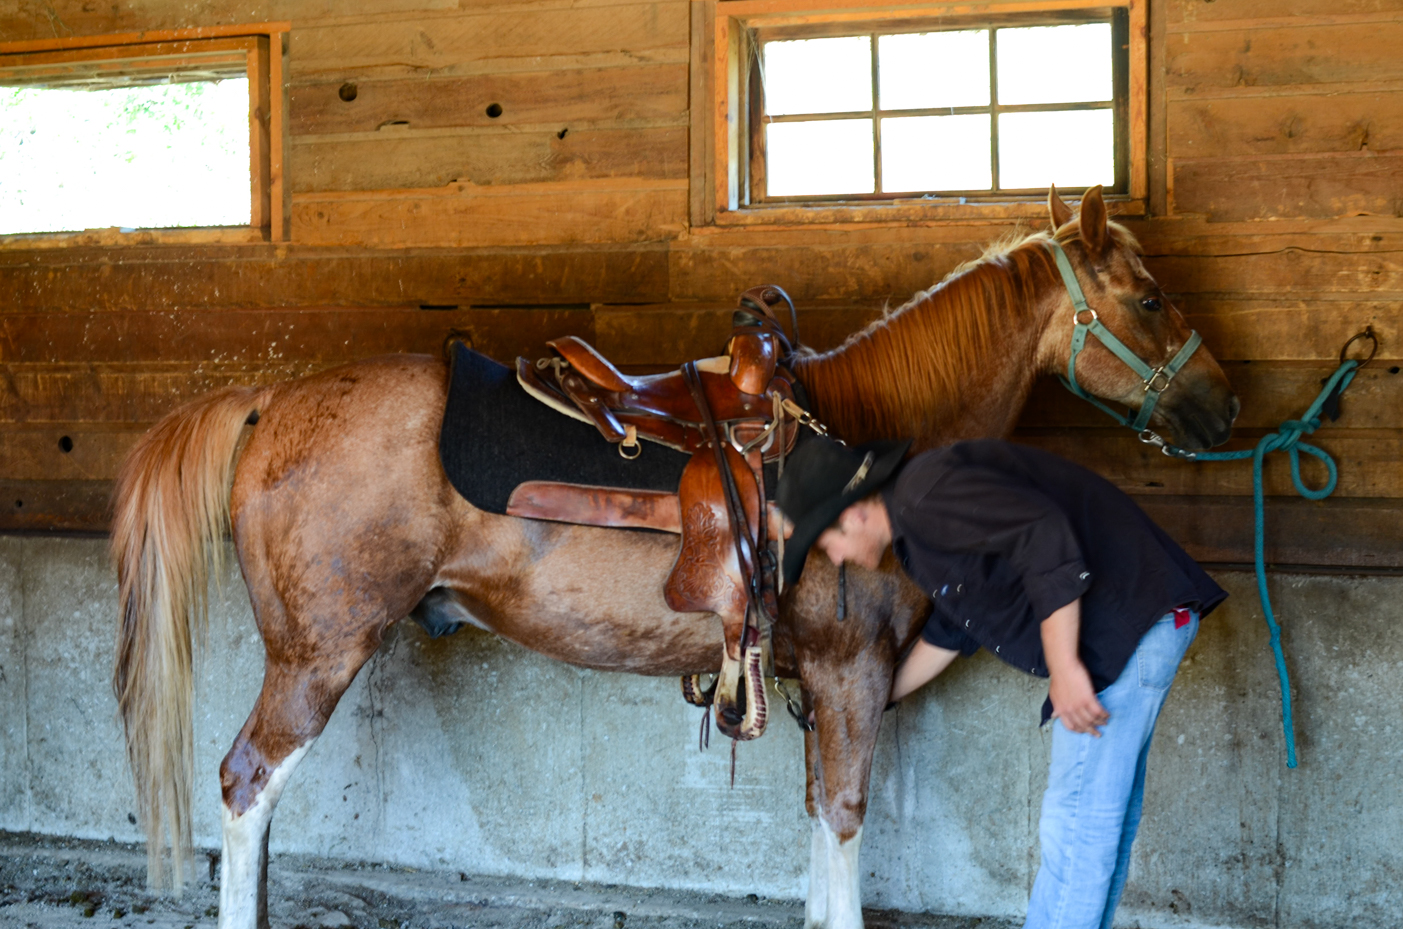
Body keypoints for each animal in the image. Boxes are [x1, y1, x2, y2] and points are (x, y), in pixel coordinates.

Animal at [112, 189, 1240, 929]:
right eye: (1146, 298)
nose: (1221, 406)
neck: (868, 446)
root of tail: (274, 400)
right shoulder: (850, 673)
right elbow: (842, 823)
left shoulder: (819, 682)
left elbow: (815, 826)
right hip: (319, 654)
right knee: (247, 784)